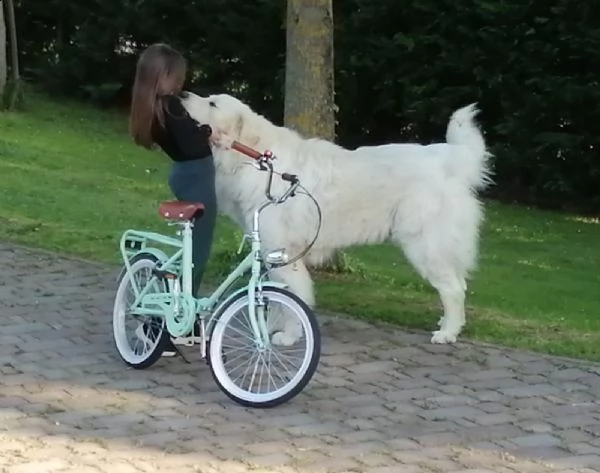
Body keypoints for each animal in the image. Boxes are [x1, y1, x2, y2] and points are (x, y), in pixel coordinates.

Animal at [183, 91, 492, 342]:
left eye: (212, 103)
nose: (183, 94)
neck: (254, 158)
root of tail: (448, 159)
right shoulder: (271, 253)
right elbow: (277, 300)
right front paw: (270, 330)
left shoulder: (284, 254)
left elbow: (292, 299)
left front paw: (289, 336)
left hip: (424, 245)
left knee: (453, 289)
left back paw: (447, 333)